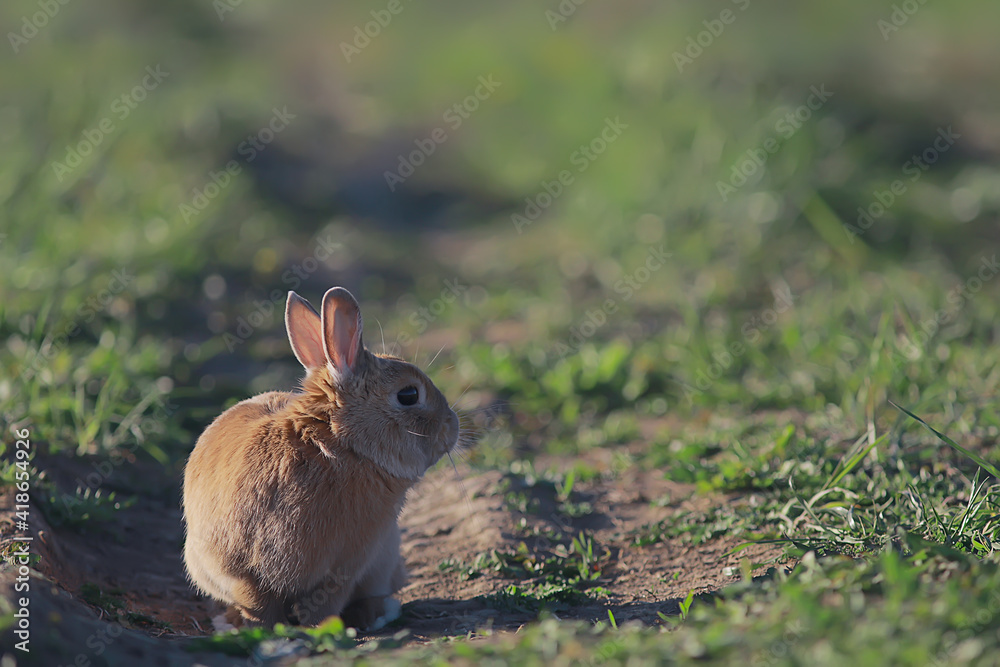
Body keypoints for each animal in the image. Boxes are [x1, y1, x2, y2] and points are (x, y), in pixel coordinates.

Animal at [182, 286, 459, 630]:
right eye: (409, 395)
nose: (453, 426)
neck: (333, 443)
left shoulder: (344, 565)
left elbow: (318, 601)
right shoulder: (243, 569)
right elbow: (260, 601)